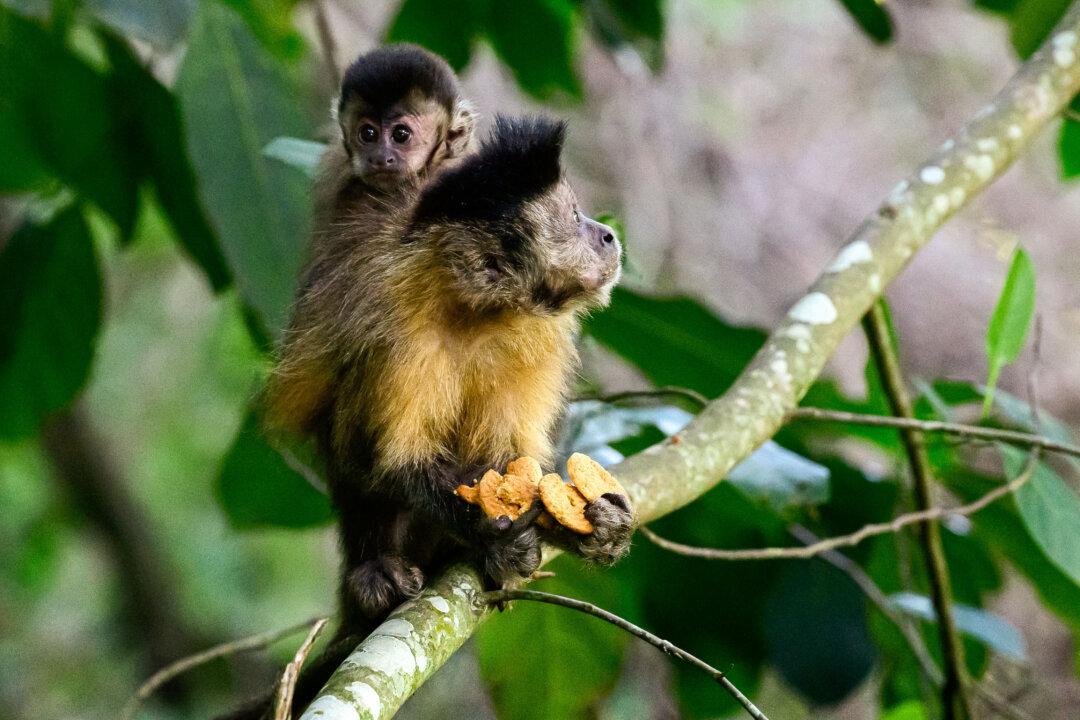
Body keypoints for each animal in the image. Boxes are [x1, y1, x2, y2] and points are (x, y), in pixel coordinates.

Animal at [220, 116, 633, 720]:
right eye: (574, 215)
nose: (605, 234)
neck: (478, 314)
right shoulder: (398, 332)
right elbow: (392, 464)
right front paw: (493, 533)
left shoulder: (535, 341)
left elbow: (519, 464)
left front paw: (594, 525)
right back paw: (376, 575)